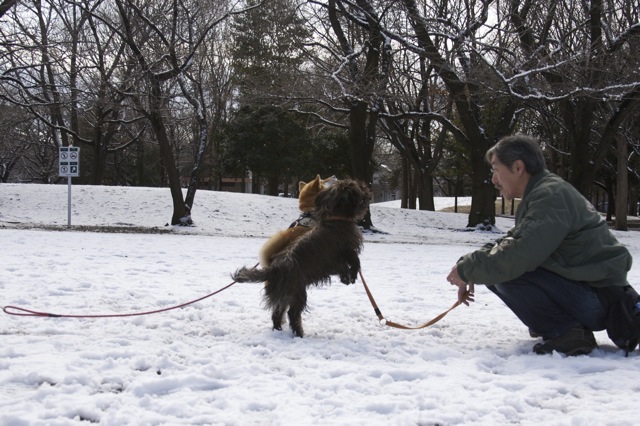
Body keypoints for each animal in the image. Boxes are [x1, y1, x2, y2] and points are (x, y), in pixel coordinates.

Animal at [231, 178, 372, 338]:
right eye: (357, 187)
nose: (366, 187)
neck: (337, 217)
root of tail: (274, 270)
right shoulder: (346, 250)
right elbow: (355, 262)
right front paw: (353, 276)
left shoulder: (336, 261)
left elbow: (344, 268)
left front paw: (346, 278)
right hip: (296, 292)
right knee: (292, 314)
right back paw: (299, 334)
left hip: (284, 294)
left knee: (277, 312)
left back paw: (279, 330)